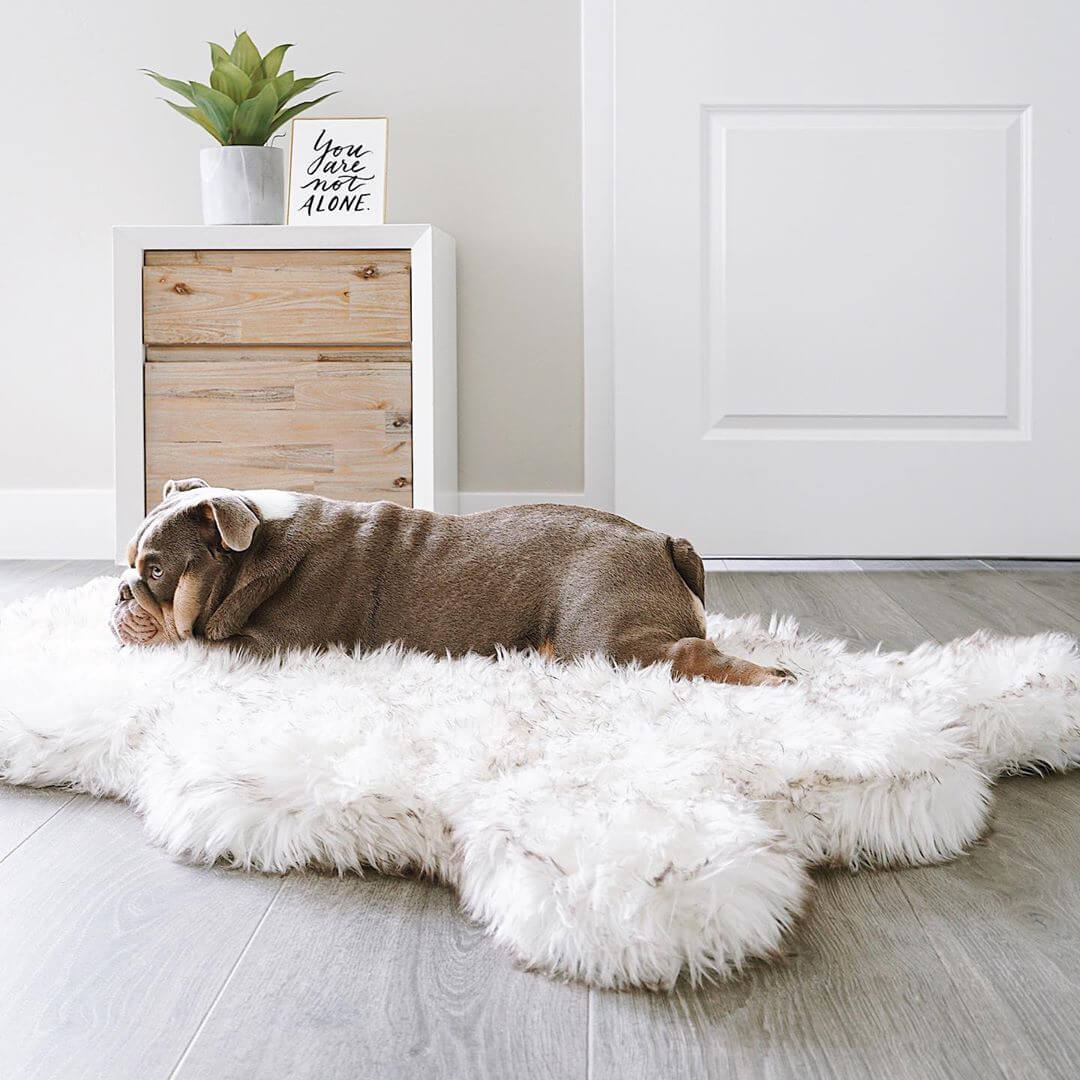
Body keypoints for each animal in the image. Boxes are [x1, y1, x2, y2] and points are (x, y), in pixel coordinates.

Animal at [113, 479, 794, 686]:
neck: (254, 543)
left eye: (155, 570)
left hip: (605, 638)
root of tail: (660, 540)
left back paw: (773, 679)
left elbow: (202, 646)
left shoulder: (265, 646)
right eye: (128, 562)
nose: (120, 590)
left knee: (692, 653)